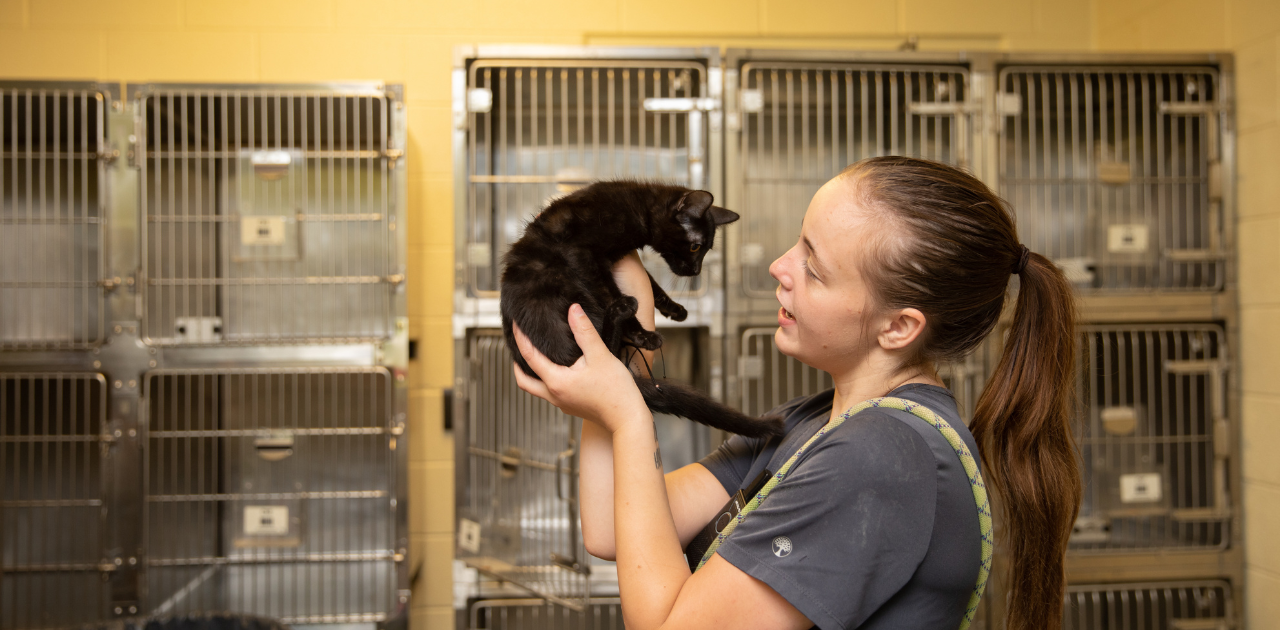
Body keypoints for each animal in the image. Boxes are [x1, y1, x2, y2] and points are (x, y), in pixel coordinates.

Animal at [501, 179, 783, 440]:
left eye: (706, 249)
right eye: (695, 246)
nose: (695, 271)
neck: (638, 206)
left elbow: (651, 281)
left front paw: (674, 309)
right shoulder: (581, 253)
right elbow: (608, 289)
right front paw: (642, 333)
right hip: (565, 294)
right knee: (601, 347)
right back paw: (621, 311)